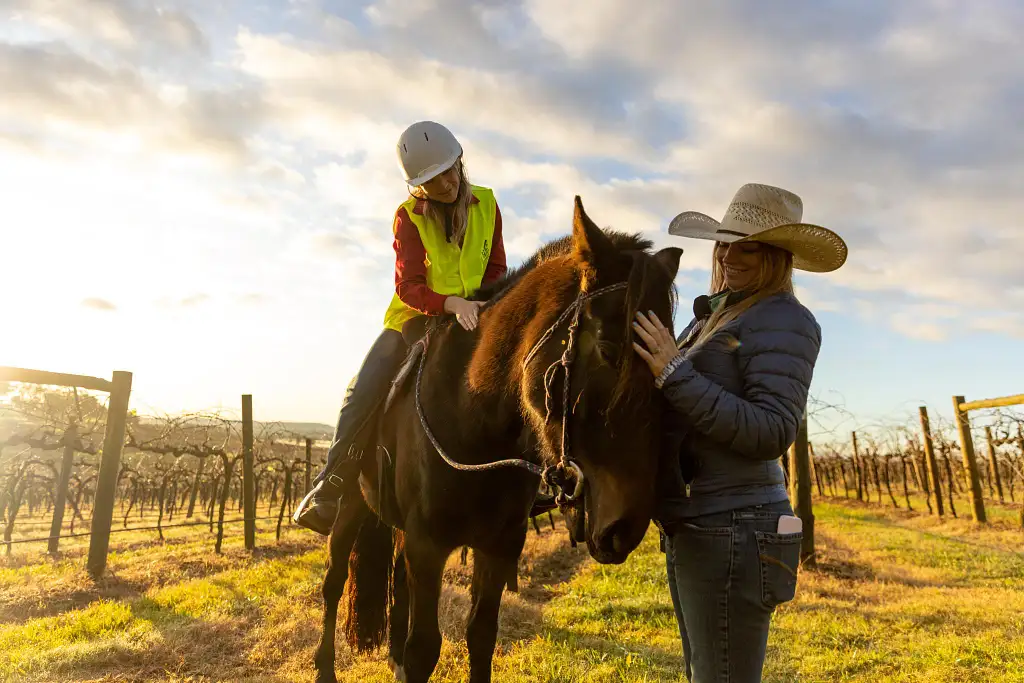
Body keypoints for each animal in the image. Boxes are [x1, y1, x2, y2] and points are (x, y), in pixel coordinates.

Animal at [309, 194, 679, 679]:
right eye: (609, 350)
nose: (626, 529)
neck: (475, 420)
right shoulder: (428, 546)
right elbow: (425, 647)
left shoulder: (499, 546)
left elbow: (480, 635)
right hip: (349, 507)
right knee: (333, 582)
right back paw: (325, 667)